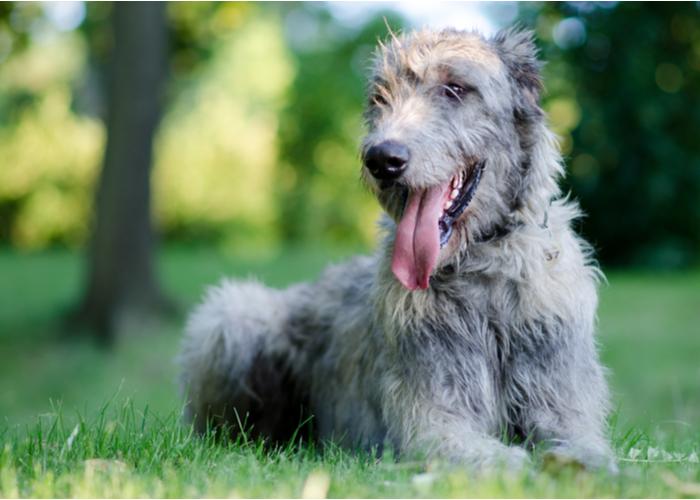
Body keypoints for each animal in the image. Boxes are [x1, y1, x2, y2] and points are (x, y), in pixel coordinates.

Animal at [178, 27, 616, 472]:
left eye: (455, 89)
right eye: (379, 98)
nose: (382, 159)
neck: (482, 268)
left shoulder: (559, 393)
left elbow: (587, 447)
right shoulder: (430, 417)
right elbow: (486, 455)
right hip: (234, 315)